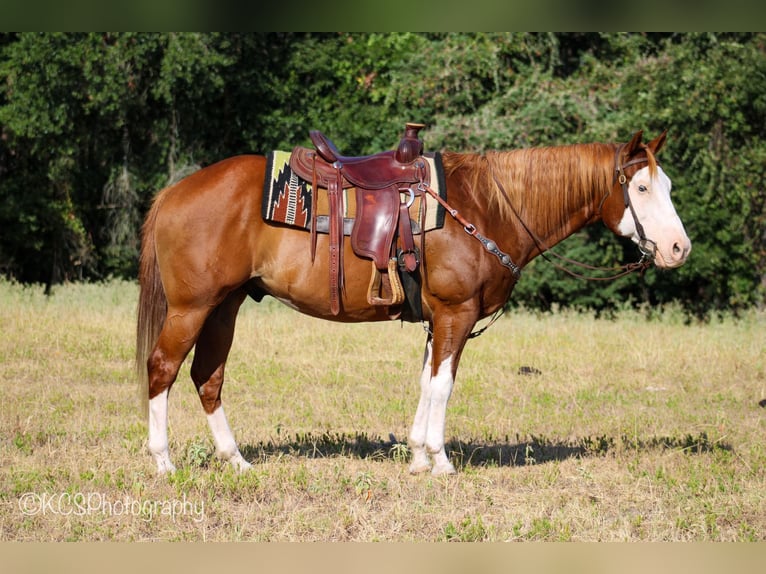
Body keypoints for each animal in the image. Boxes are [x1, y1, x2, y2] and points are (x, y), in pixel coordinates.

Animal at [135, 130, 692, 476]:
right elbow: (443, 384)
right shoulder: (455, 312)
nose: (678, 248)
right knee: (162, 368)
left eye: (665, 184)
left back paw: (235, 460)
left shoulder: (437, 320)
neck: (485, 207)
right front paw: (440, 460)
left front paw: (419, 456)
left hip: (224, 306)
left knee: (207, 377)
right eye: (642, 187)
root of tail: (173, 192)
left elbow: (428, 381)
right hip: (192, 308)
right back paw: (163, 461)